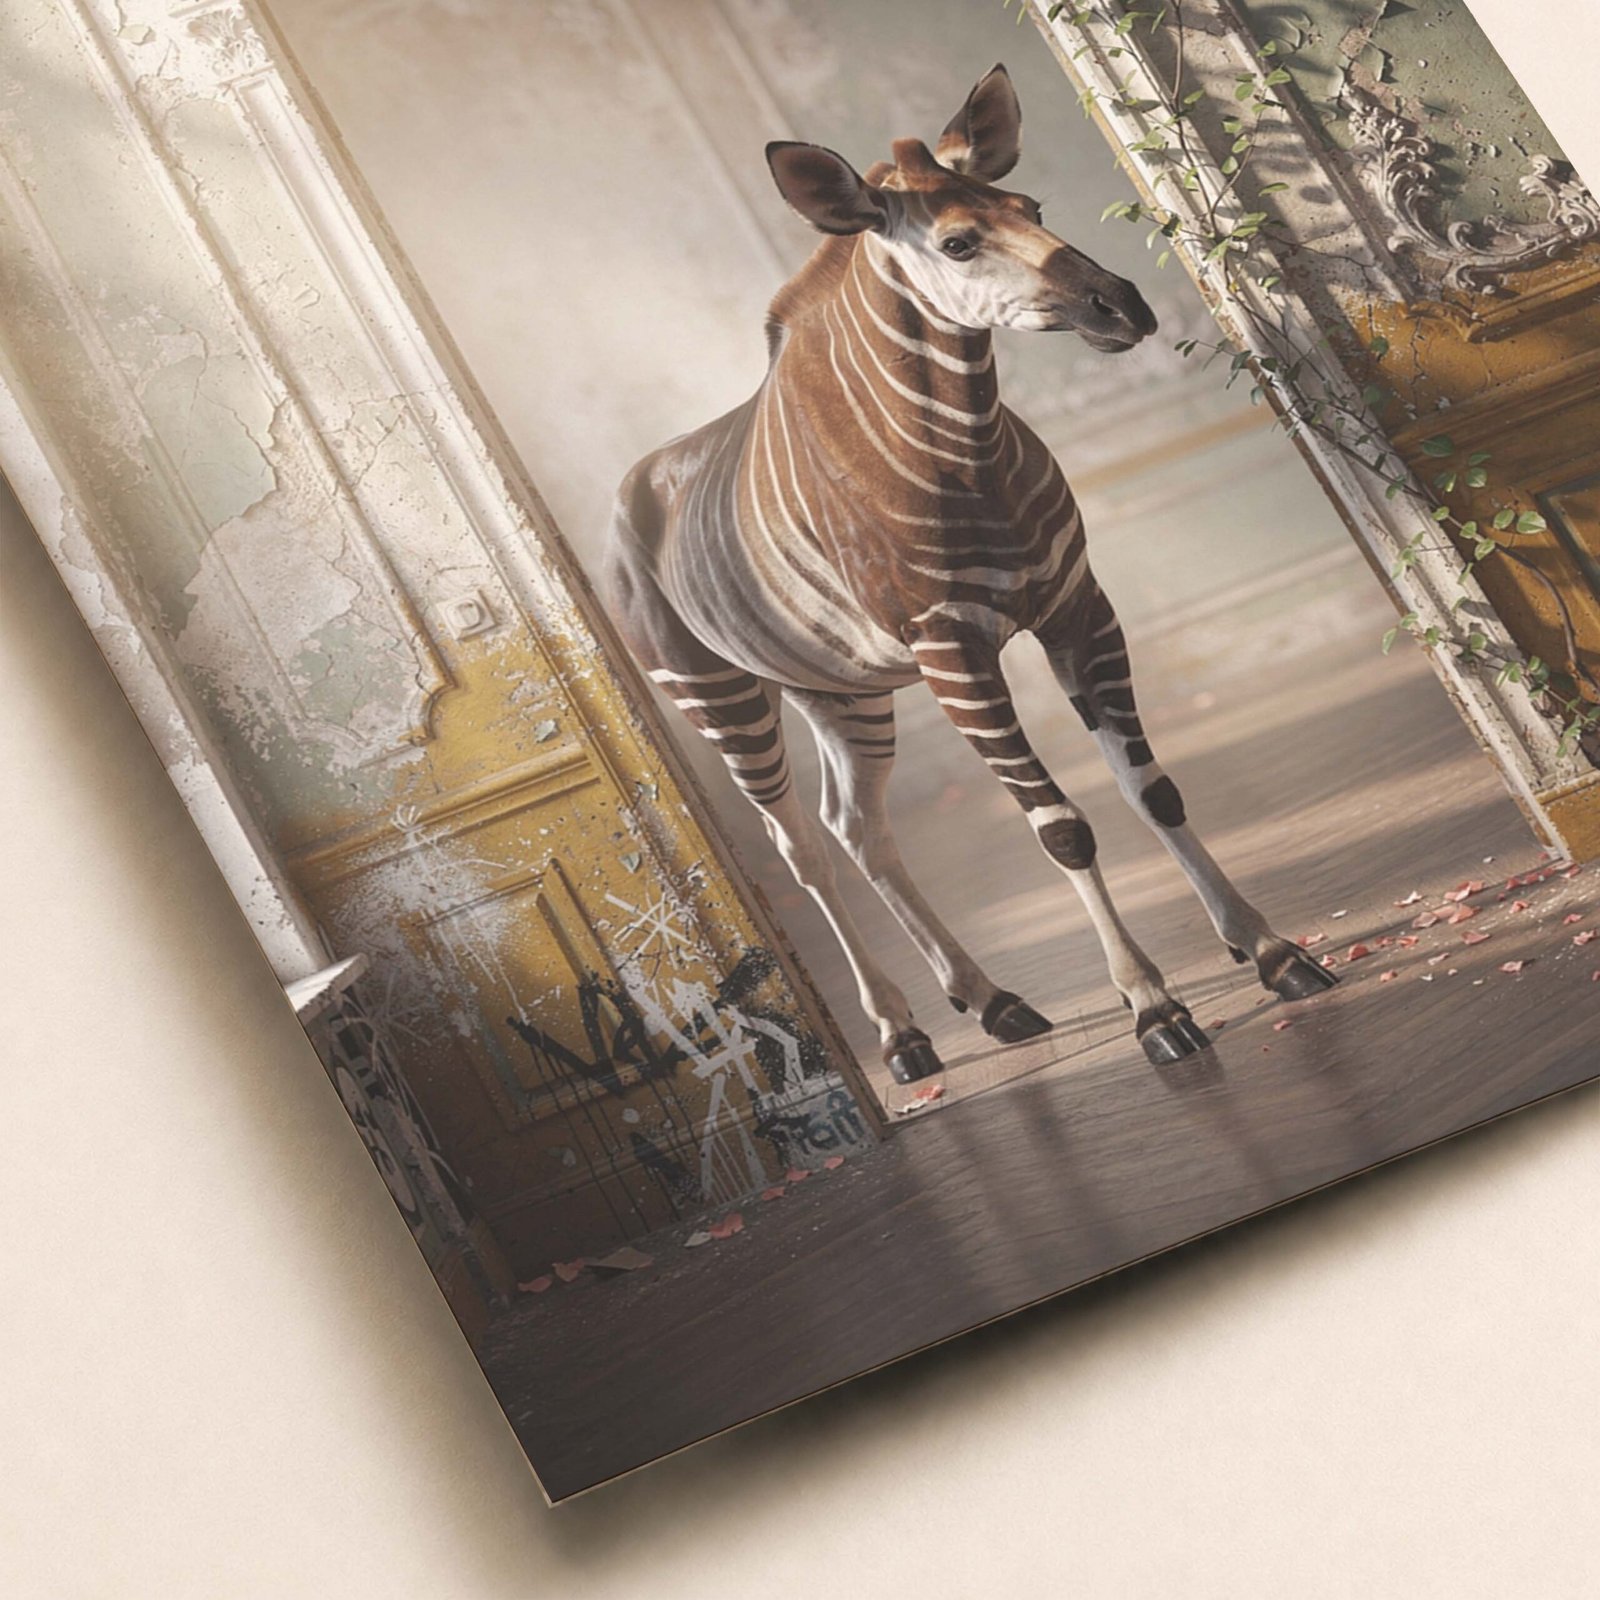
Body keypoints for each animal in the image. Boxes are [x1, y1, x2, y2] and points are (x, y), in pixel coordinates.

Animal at [602, 64, 1337, 1084]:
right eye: (956, 241)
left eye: (1033, 208)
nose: (1125, 307)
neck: (961, 457)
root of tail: (630, 488)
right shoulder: (956, 655)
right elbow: (1061, 826)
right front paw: (1153, 1007)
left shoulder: (1077, 610)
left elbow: (1152, 788)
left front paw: (1270, 949)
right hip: (722, 698)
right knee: (801, 847)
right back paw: (900, 1036)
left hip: (841, 690)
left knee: (855, 826)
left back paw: (990, 1003)